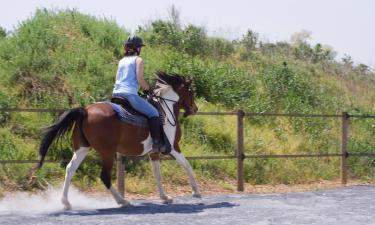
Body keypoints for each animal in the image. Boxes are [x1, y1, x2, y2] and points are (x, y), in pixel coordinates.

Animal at [37, 71, 201, 209]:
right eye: (191, 91)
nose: (195, 109)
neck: (165, 109)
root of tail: (85, 111)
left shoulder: (154, 152)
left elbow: (157, 175)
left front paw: (165, 197)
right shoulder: (173, 147)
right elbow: (187, 166)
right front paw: (196, 192)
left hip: (82, 148)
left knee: (70, 169)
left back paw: (66, 202)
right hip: (107, 153)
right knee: (104, 176)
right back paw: (122, 201)